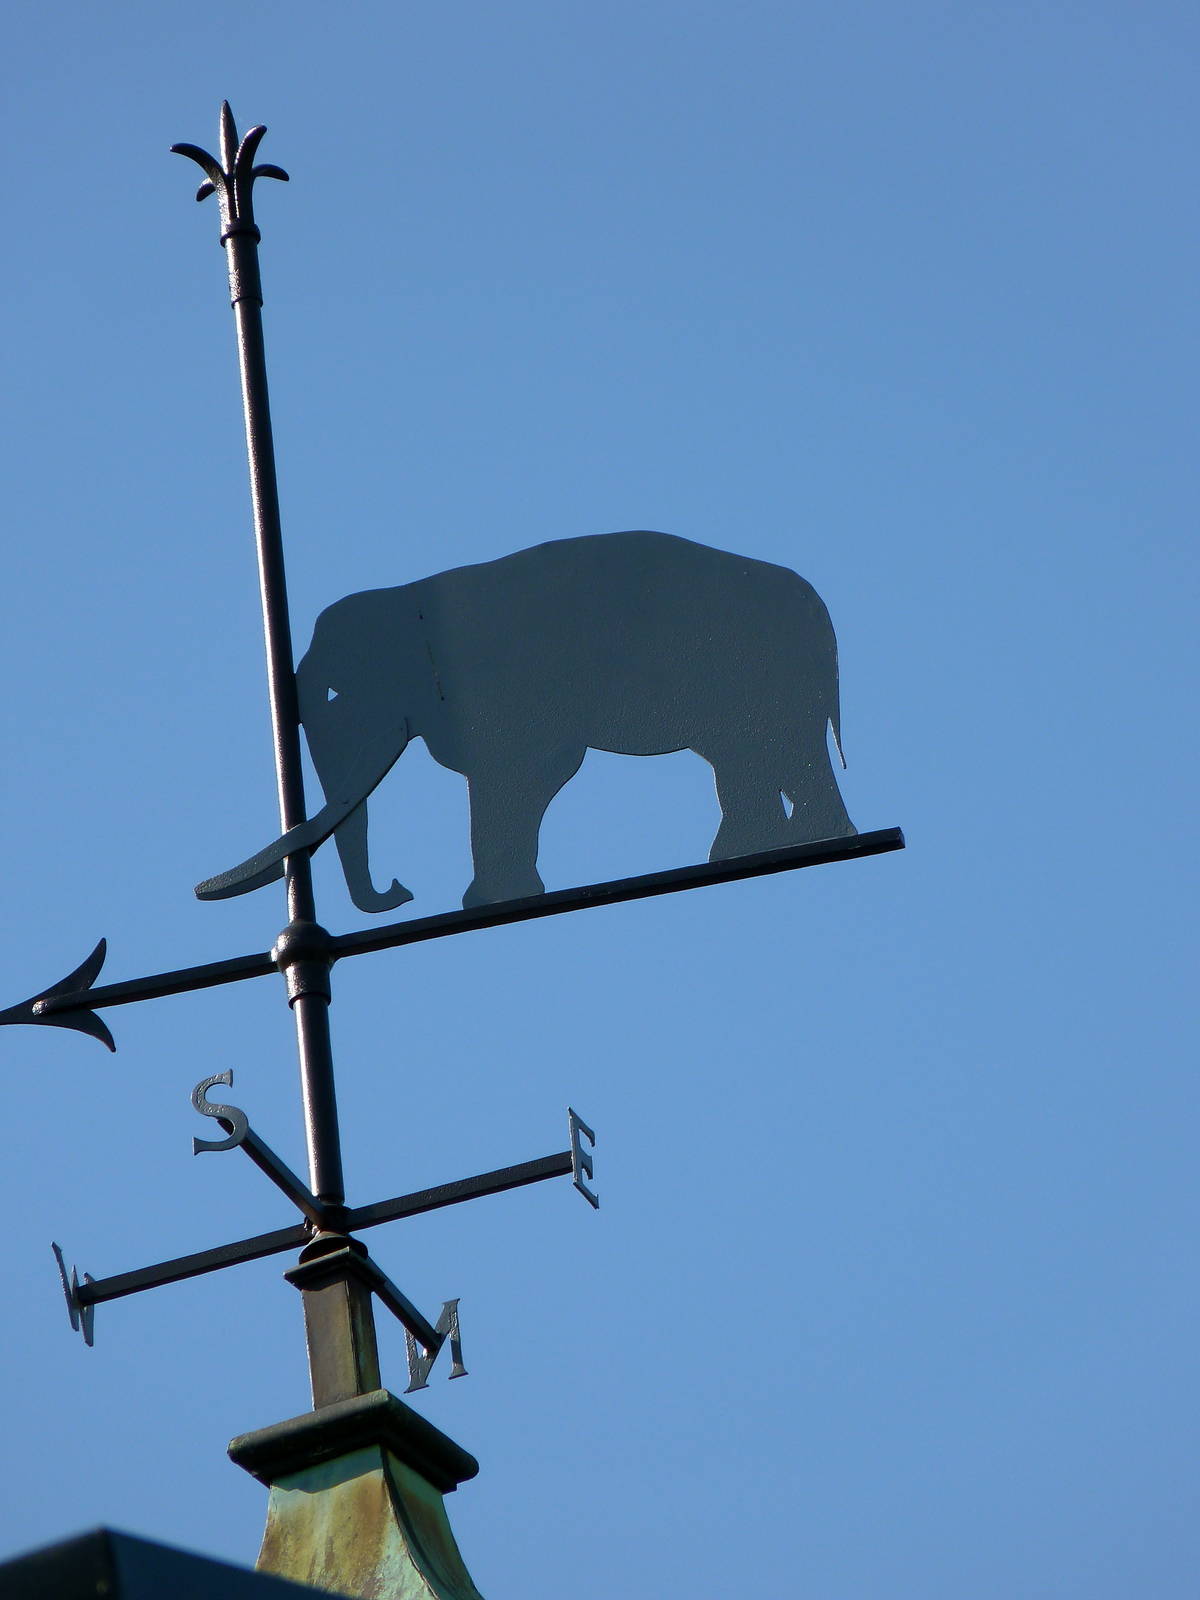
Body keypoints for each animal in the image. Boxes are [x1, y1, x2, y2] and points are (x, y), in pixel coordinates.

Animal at [195, 530, 856, 912]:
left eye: (334, 692)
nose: (401, 891)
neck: (406, 595)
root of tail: (820, 608)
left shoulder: (498, 691)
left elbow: (525, 772)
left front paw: (488, 900)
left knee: (769, 750)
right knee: (751, 755)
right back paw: (771, 847)